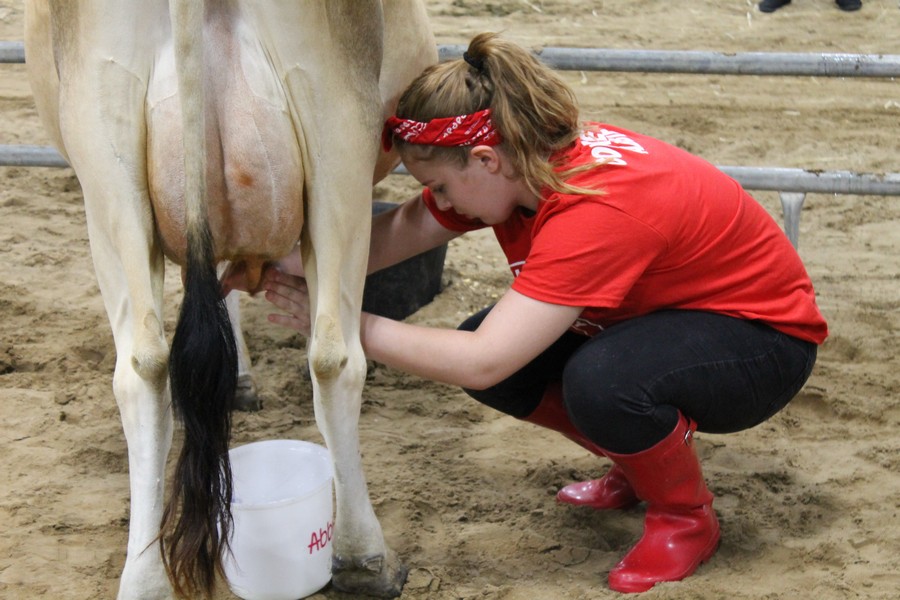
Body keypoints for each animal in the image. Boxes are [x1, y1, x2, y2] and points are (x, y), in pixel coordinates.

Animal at [26, 1, 434, 600]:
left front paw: (238, 378)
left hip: (105, 158)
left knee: (142, 369)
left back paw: (144, 578)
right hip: (339, 135)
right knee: (333, 358)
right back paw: (366, 560)